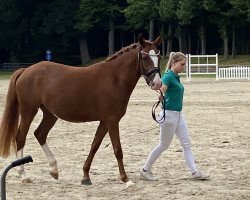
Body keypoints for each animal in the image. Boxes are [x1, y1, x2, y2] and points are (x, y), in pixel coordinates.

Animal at [0, 34, 162, 188]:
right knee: (21, 137)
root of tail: (26, 70)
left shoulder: (104, 121)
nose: (158, 83)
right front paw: (126, 180)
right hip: (29, 111)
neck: (114, 78)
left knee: (40, 134)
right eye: (145, 57)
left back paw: (54, 170)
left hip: (50, 114)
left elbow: (94, 146)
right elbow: (117, 150)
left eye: (158, 57)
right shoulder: (112, 121)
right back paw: (24, 175)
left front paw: (85, 176)